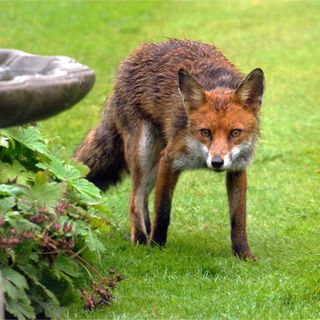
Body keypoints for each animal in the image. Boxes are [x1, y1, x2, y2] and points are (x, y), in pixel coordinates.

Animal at [75, 40, 264, 260]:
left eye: (235, 133)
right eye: (205, 132)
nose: (217, 163)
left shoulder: (237, 168)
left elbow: (238, 219)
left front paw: (243, 254)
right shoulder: (170, 159)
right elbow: (163, 211)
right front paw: (156, 246)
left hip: (153, 164)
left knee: (143, 198)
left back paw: (144, 231)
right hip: (144, 152)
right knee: (134, 201)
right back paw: (140, 239)